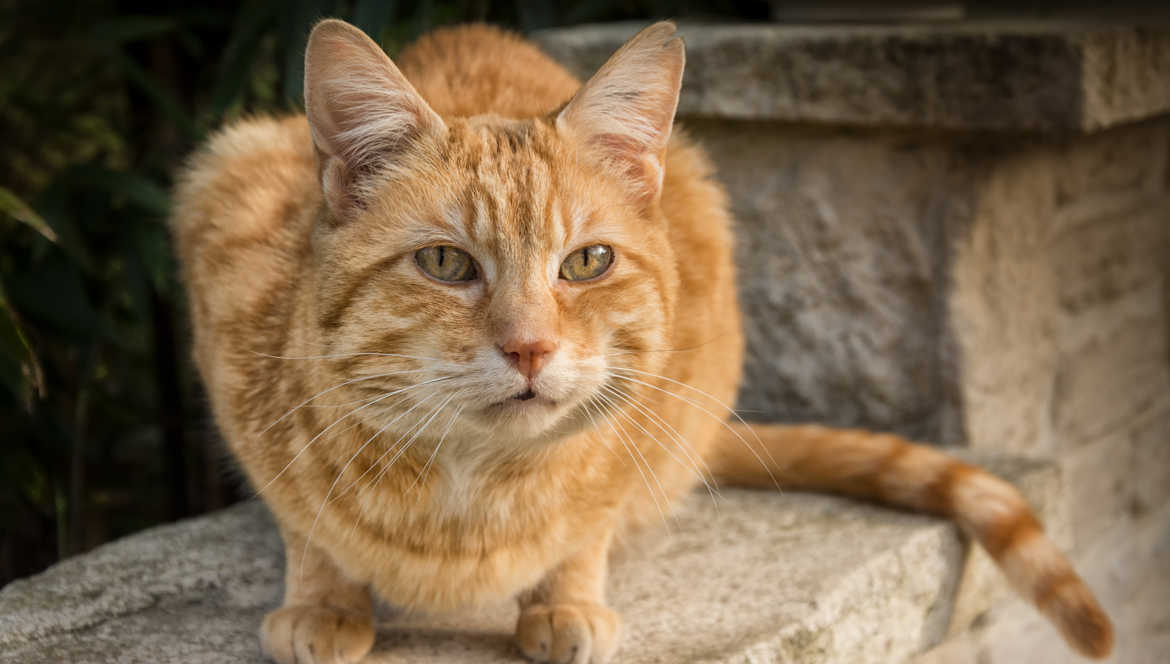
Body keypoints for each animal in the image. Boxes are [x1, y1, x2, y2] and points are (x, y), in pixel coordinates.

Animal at [173, 19, 1113, 664]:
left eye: (587, 262)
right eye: (445, 262)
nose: (529, 349)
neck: (471, 494)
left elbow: (589, 525)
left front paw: (566, 599)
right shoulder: (225, 232)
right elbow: (305, 523)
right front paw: (323, 599)